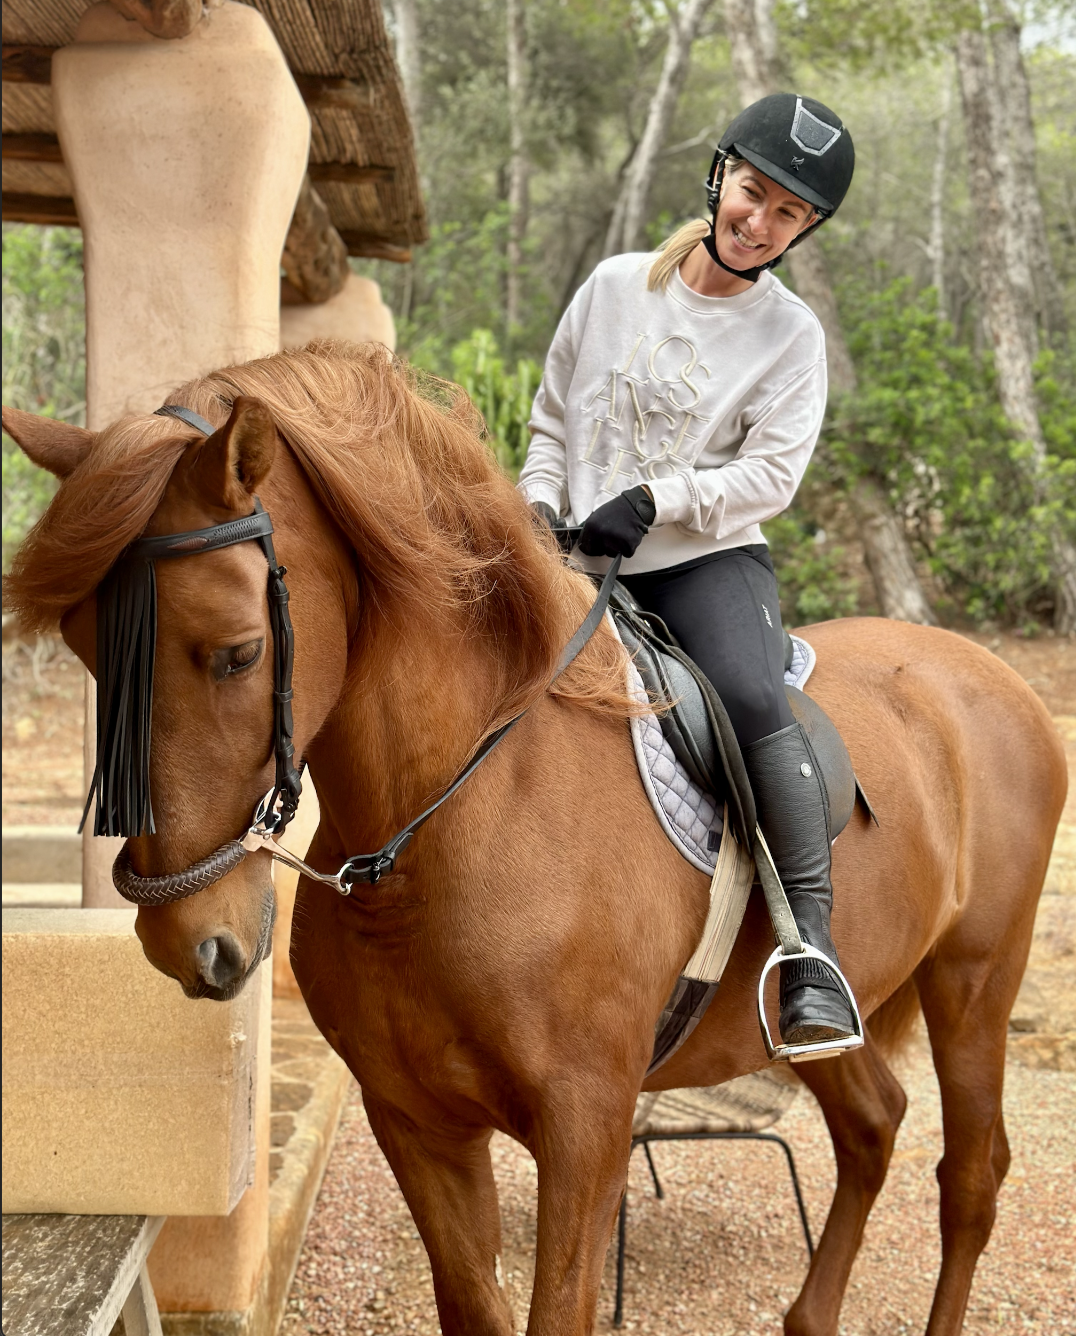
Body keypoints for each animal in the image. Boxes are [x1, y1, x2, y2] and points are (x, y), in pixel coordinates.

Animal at [4, 342, 1066, 1336]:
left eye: (237, 654)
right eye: (86, 649)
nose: (188, 941)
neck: (454, 828)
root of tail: (994, 678)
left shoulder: (586, 1132)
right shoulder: (416, 1122)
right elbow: (475, 1305)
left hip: (975, 979)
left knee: (971, 1177)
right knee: (873, 1126)